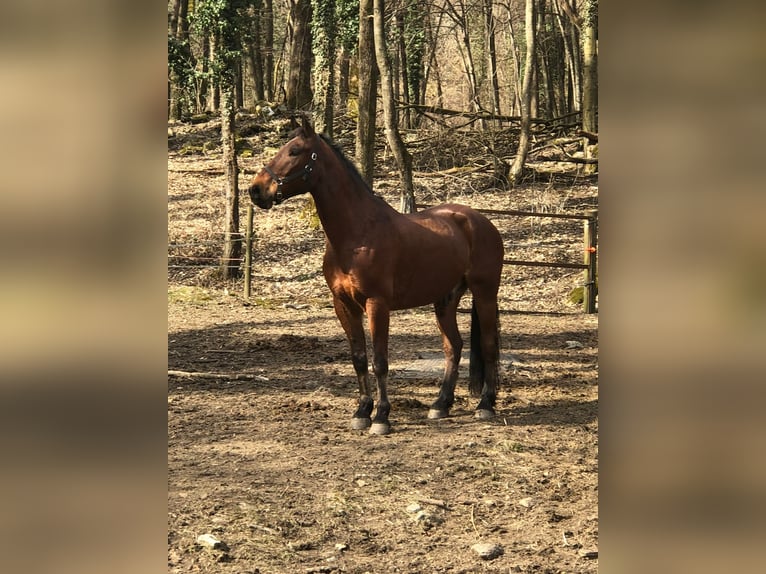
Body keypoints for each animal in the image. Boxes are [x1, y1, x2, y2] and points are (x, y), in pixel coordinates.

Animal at [247, 115, 505, 435]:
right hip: (445, 299)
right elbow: (359, 359)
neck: (357, 234)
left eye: (294, 151)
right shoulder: (343, 305)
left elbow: (380, 361)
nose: (256, 190)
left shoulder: (377, 304)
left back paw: (485, 405)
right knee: (453, 346)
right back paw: (440, 404)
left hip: (485, 293)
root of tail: (478, 221)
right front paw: (361, 412)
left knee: (488, 345)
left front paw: (381, 417)